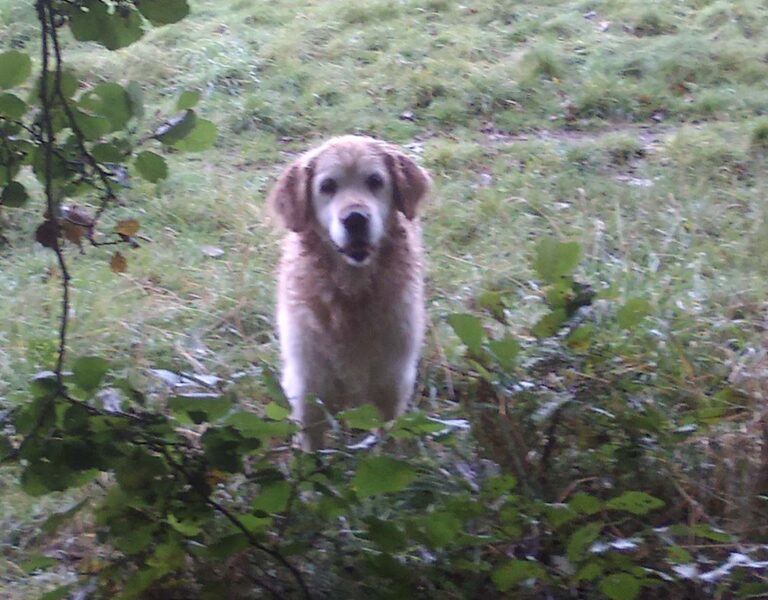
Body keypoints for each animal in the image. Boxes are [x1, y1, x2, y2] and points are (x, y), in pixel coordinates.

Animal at [268, 135, 428, 446]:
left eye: (375, 181)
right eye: (327, 186)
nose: (355, 219)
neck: (351, 294)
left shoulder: (392, 380)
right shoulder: (308, 385)